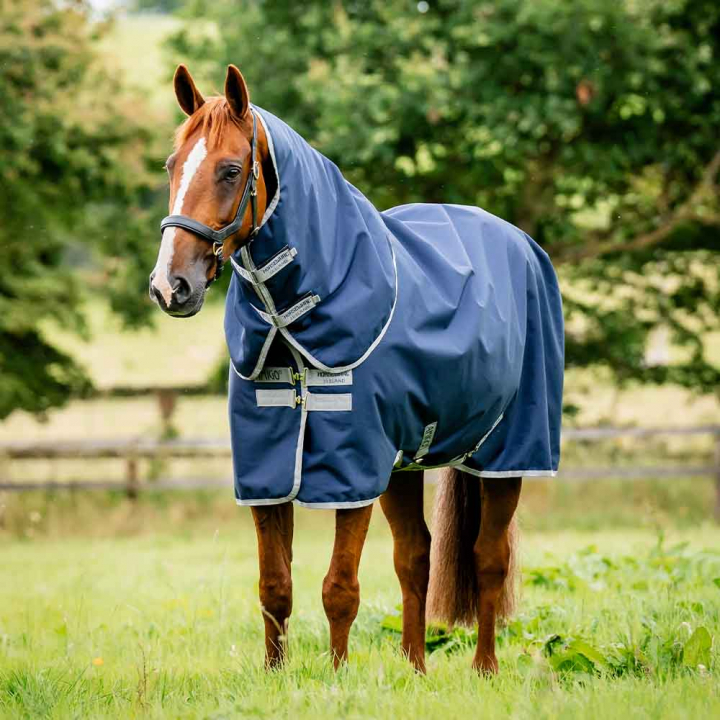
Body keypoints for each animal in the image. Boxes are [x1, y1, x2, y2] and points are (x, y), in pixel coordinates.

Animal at [150, 64, 563, 675]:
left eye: (230, 170)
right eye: (172, 165)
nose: (170, 286)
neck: (292, 322)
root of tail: (522, 244)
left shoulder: (352, 467)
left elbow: (339, 587)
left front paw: (337, 677)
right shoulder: (270, 466)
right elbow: (275, 586)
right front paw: (276, 676)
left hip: (507, 451)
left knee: (489, 556)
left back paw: (485, 668)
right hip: (404, 463)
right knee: (416, 555)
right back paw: (415, 669)